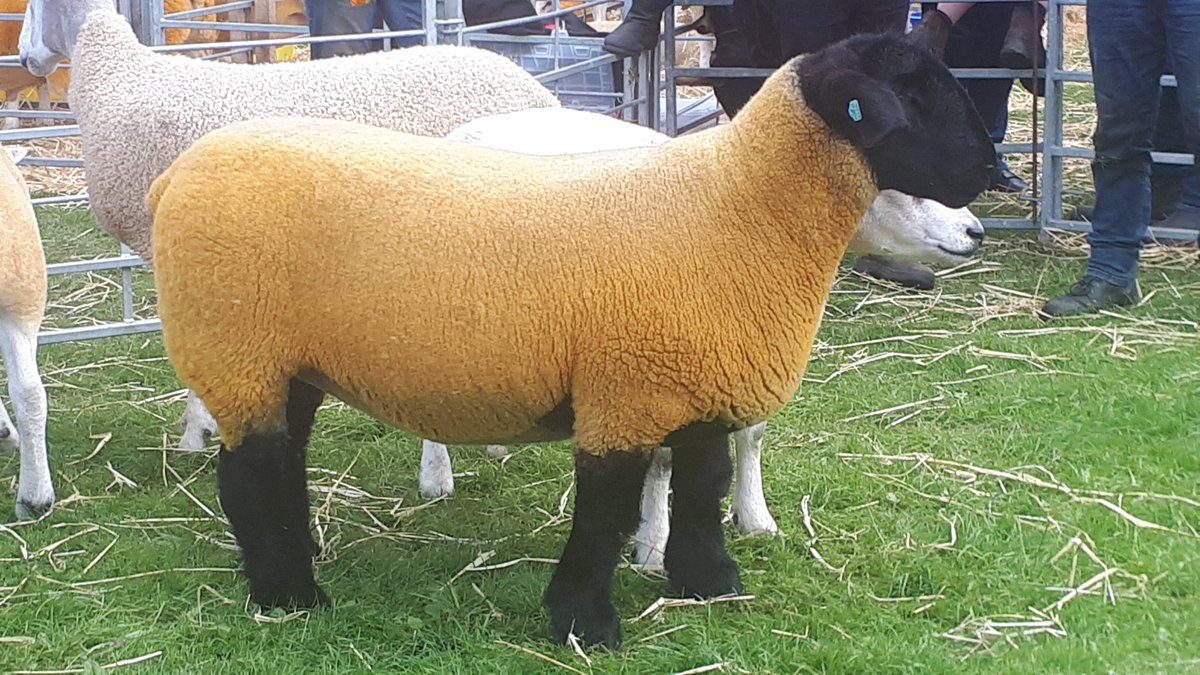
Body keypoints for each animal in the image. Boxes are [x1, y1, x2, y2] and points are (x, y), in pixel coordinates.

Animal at [437, 106, 985, 565]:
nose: (976, 232)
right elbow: (661, 463)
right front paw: (653, 543)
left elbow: (753, 434)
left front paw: (756, 519)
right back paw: (436, 477)